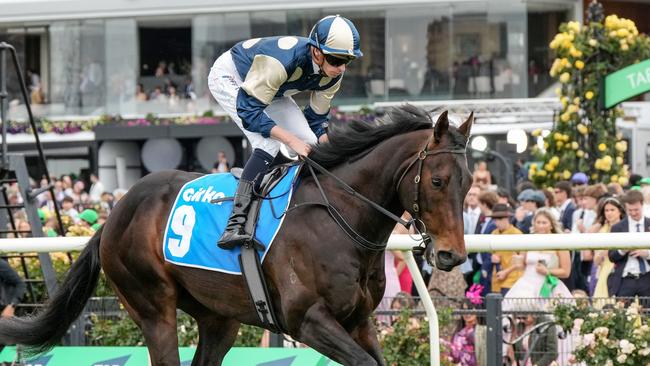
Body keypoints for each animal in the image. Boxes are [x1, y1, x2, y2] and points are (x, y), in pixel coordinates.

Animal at [0, 104, 470, 364]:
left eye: (466, 183)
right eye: (437, 181)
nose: (453, 256)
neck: (340, 217)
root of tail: (113, 216)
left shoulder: (358, 320)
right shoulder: (307, 319)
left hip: (218, 317)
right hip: (152, 307)